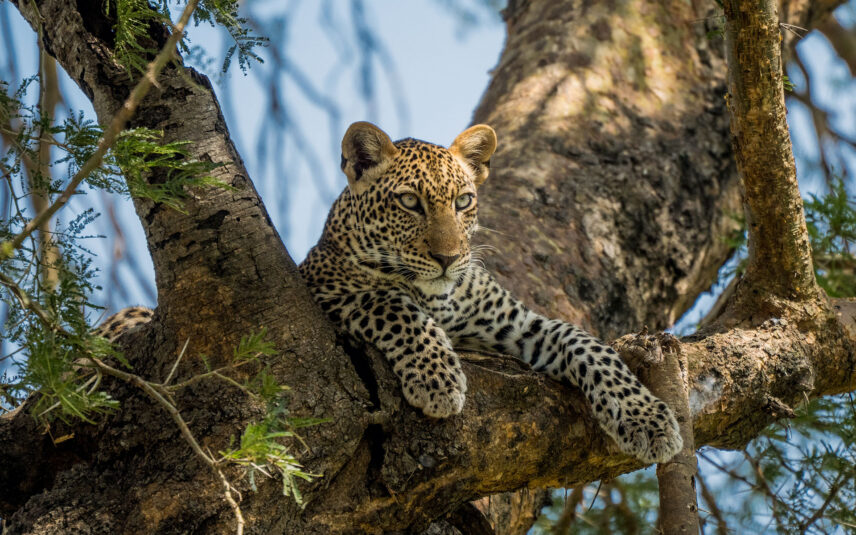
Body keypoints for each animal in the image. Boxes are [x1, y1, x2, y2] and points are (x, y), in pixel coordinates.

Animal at [99, 122, 682, 464]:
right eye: (409, 203)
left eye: (464, 201)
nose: (448, 257)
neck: (441, 296)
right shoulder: (322, 292)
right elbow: (392, 302)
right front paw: (439, 379)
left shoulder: (519, 325)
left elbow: (587, 343)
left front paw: (647, 419)